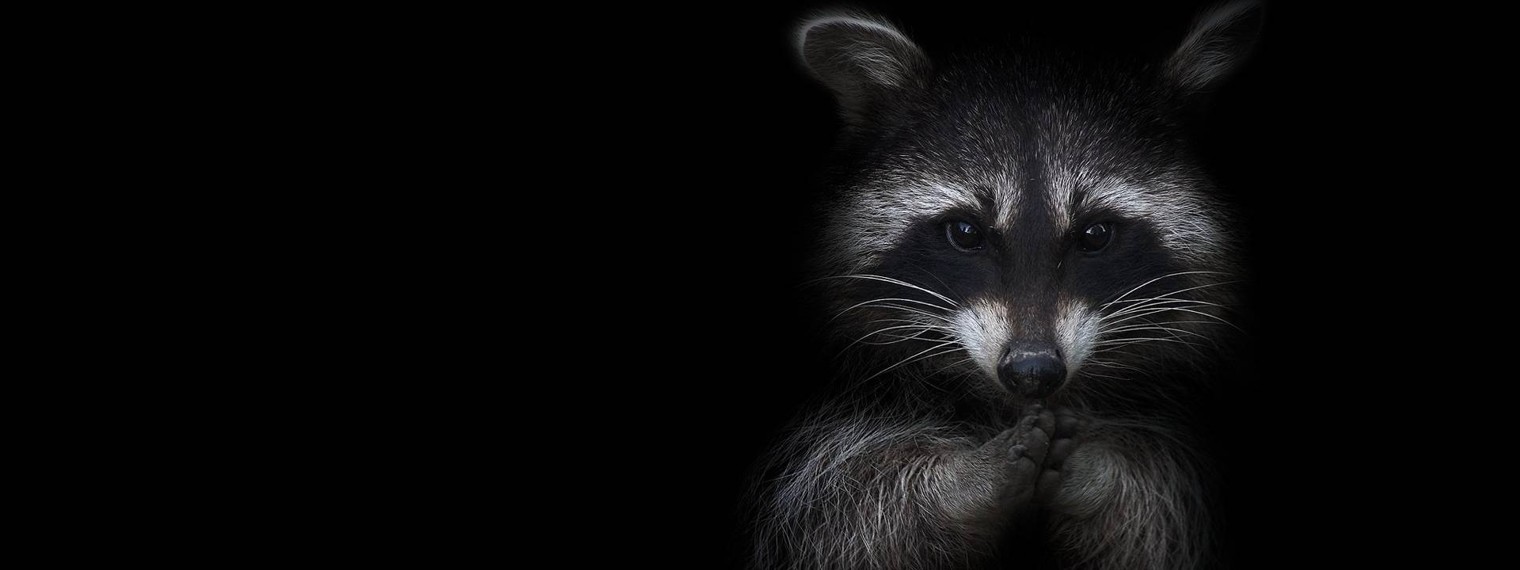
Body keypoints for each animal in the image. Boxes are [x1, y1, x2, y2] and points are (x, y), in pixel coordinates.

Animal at [749, 2, 1261, 569]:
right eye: (966, 232)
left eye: (1096, 234)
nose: (1032, 371)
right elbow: (842, 511)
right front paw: (958, 488)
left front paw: (1100, 478)